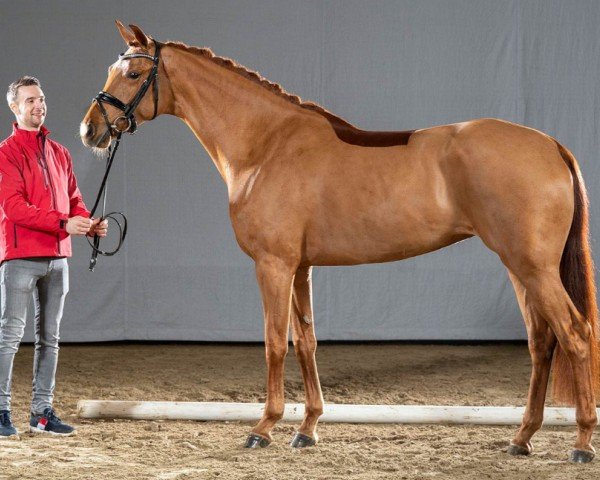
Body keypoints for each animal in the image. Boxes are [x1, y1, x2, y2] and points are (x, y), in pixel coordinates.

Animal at [81, 21, 600, 462]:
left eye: (132, 72)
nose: (90, 129)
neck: (266, 145)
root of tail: (551, 145)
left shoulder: (273, 265)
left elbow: (274, 342)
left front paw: (263, 428)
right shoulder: (301, 267)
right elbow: (306, 342)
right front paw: (307, 428)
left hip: (533, 268)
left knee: (575, 335)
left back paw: (581, 442)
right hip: (519, 268)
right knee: (542, 343)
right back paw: (522, 437)